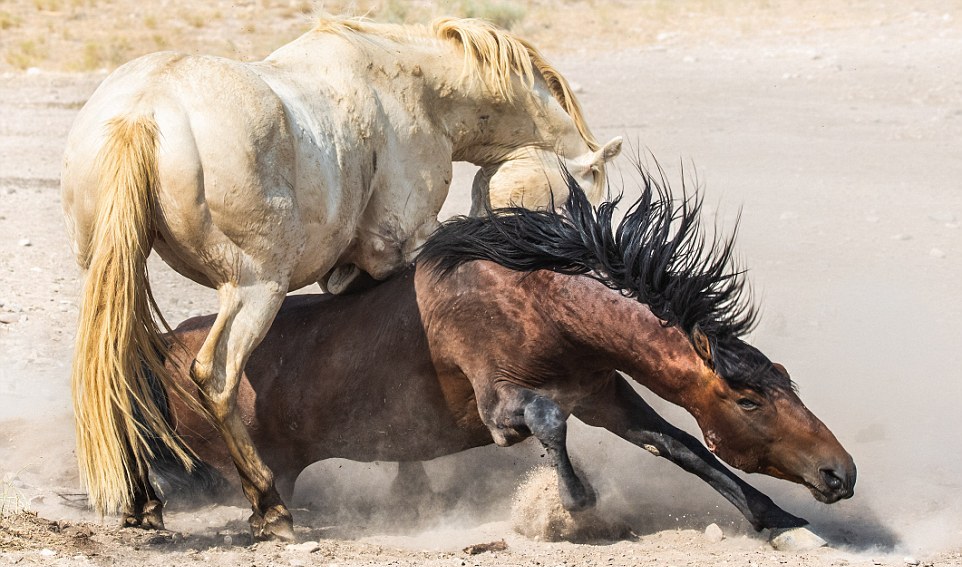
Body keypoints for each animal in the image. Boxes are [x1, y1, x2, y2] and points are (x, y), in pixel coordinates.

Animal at [60, 15, 620, 540]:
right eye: (576, 201)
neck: (416, 91)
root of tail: (144, 111)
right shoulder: (398, 250)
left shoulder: (356, 272)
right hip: (256, 289)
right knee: (216, 379)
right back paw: (269, 506)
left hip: (122, 278)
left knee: (119, 374)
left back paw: (143, 501)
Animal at [137, 169, 856, 536]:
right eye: (748, 398)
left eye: (784, 378)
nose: (839, 473)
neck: (538, 303)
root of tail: (165, 351)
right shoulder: (500, 402)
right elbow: (545, 422)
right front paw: (567, 504)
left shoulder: (605, 396)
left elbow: (682, 446)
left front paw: (777, 518)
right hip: (230, 461)